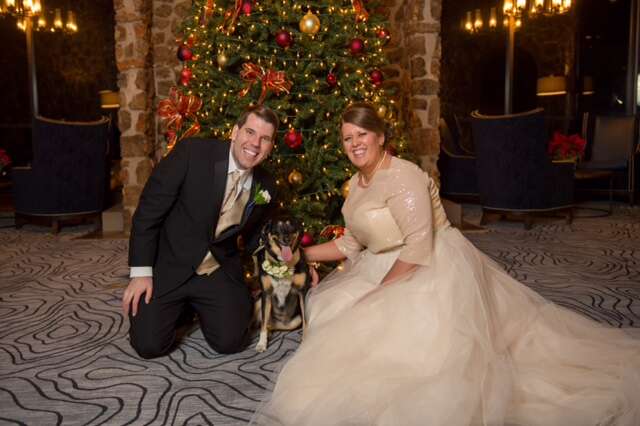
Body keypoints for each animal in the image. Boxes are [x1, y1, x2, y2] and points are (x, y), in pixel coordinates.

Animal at [252, 216, 310, 352]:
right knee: (264, 322)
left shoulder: (302, 291)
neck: (282, 264)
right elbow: (263, 323)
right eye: (276, 227)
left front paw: (305, 339)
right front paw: (261, 344)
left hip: (294, 321)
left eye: (291, 225)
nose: (286, 239)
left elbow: (305, 318)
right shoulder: (266, 294)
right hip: (258, 301)